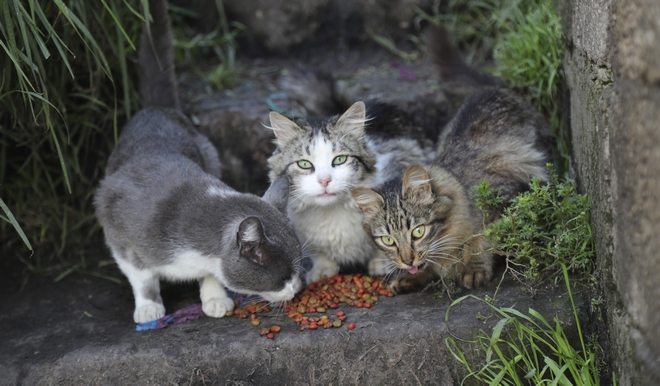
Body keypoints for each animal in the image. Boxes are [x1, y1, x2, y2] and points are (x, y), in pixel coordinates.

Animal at [94, 0, 302, 326]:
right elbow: (142, 276)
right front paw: (149, 307)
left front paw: (215, 299)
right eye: (282, 277)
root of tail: (156, 109)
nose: (298, 288)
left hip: (209, 152)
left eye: (298, 270)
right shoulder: (118, 230)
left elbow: (211, 273)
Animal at [266, 102, 430, 284]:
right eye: (304, 164)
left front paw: (382, 263)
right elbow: (319, 253)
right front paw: (322, 270)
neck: (331, 212)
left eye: (340, 159)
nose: (324, 180)